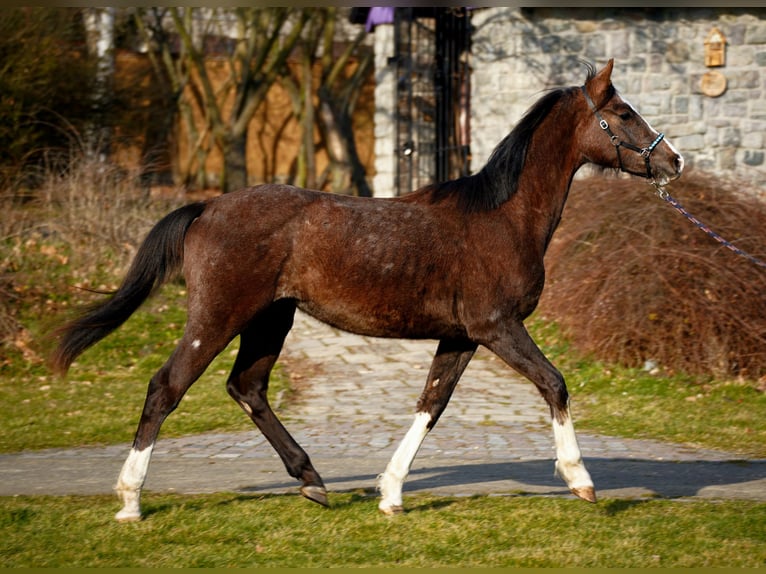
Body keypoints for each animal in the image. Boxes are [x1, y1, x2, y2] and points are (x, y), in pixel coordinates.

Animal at [49, 60, 684, 524]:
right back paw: (130, 502)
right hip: (219, 316)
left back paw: (313, 482)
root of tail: (206, 207)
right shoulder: (498, 327)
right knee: (167, 387)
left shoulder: (462, 337)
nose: (673, 160)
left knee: (246, 387)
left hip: (271, 319)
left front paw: (391, 493)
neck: (502, 218)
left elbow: (432, 403)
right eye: (622, 112)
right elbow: (554, 383)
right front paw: (581, 481)